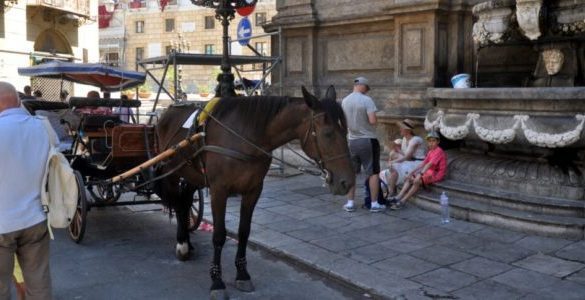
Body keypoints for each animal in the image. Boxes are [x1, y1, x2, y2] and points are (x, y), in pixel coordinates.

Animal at [154, 85, 352, 298]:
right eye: (328, 133)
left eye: (346, 130)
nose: (347, 181)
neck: (246, 135)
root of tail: (167, 112)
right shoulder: (219, 190)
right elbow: (219, 235)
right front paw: (217, 281)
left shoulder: (253, 190)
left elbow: (244, 232)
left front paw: (242, 273)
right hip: (172, 171)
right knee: (177, 203)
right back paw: (182, 243)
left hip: (192, 174)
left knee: (184, 202)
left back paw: (187, 242)